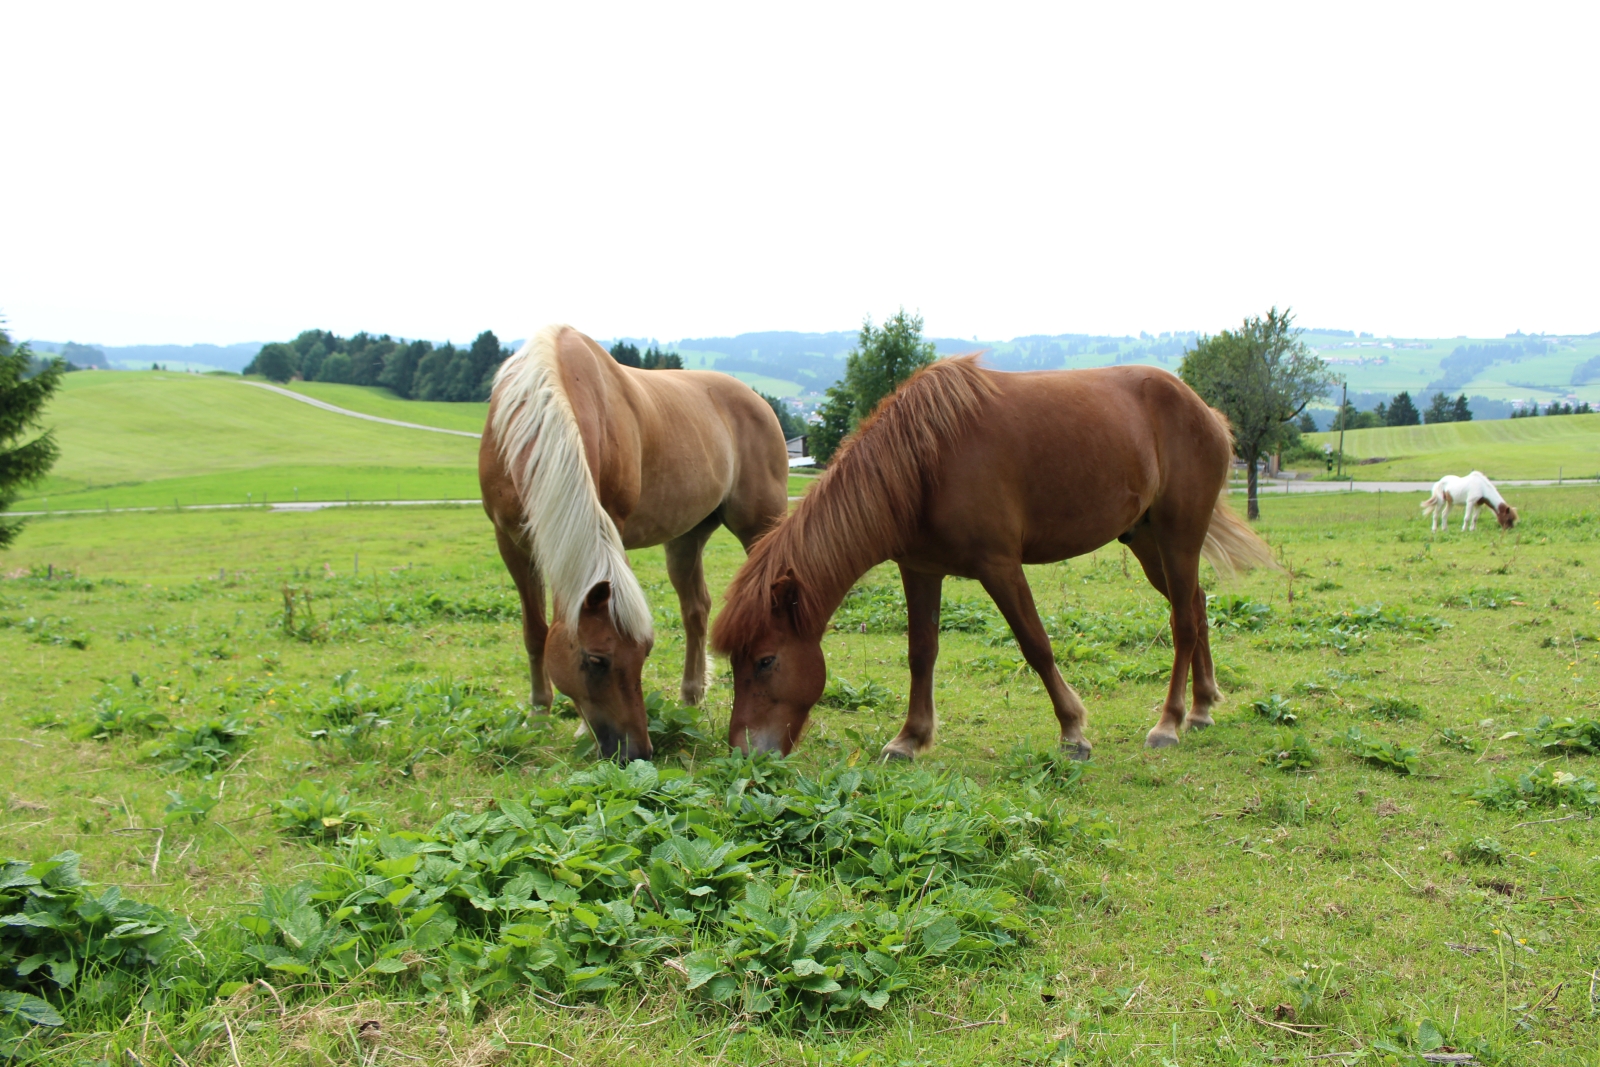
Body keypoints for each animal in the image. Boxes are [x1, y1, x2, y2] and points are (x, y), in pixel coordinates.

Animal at [483, 323, 790, 758]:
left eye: (645, 652)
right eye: (596, 659)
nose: (636, 752)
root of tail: (758, 402)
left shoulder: (610, 523)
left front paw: (578, 728)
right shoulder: (510, 542)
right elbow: (535, 632)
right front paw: (538, 716)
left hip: (759, 526)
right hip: (685, 539)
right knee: (695, 609)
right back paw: (690, 697)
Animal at [713, 356, 1273, 758]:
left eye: (765, 660)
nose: (743, 752)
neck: (924, 463)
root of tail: (1205, 411)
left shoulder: (1000, 567)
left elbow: (1036, 645)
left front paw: (1073, 731)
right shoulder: (920, 569)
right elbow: (921, 653)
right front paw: (910, 738)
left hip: (1179, 537)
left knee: (1183, 622)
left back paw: (1169, 723)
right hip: (1147, 541)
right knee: (1196, 605)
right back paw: (1202, 707)